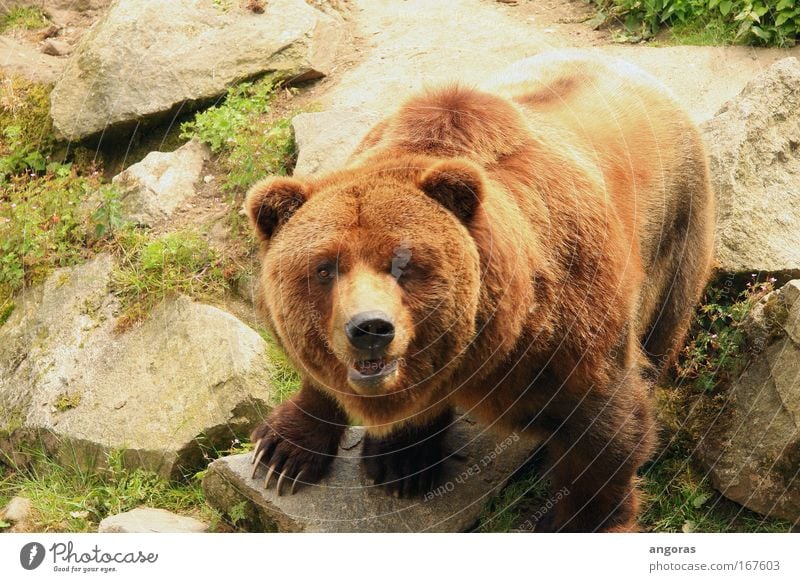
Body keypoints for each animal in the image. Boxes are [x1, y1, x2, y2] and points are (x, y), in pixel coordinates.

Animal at [244, 51, 712, 532]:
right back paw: (401, 461)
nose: (370, 328)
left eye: (403, 263)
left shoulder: (570, 323)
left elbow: (605, 432)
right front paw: (283, 451)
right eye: (324, 268)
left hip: (677, 229)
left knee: (661, 331)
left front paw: (579, 519)